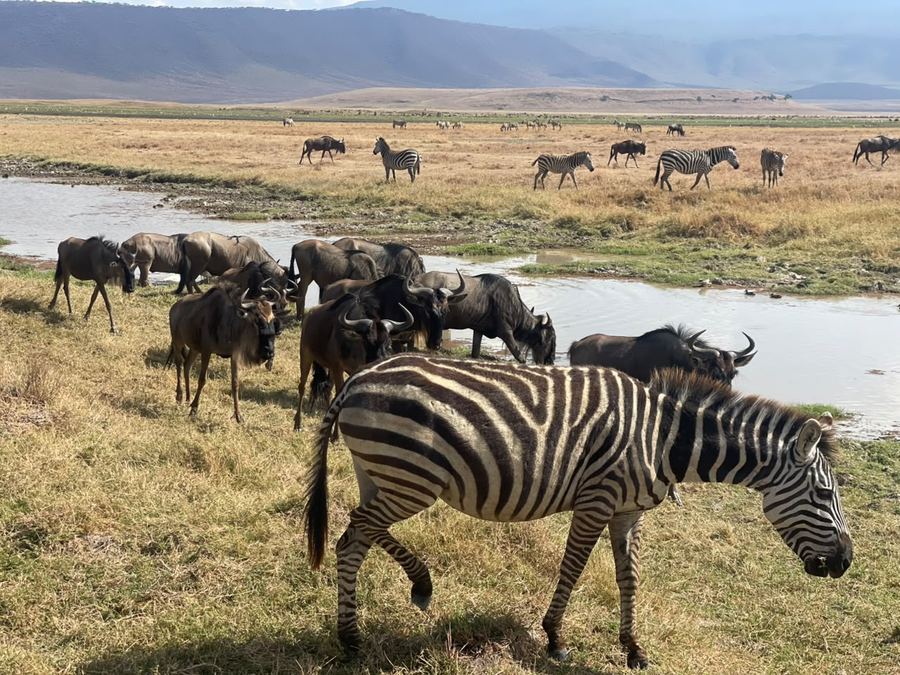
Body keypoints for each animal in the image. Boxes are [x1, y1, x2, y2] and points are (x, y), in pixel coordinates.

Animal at [303, 354, 852, 669]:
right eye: (823, 495)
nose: (846, 562)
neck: (662, 440)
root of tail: (356, 381)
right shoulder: (597, 499)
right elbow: (574, 566)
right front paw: (554, 639)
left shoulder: (628, 512)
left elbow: (629, 577)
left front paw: (633, 648)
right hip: (410, 477)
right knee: (352, 536)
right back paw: (363, 629)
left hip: (383, 473)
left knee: (361, 536)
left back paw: (386, 611)